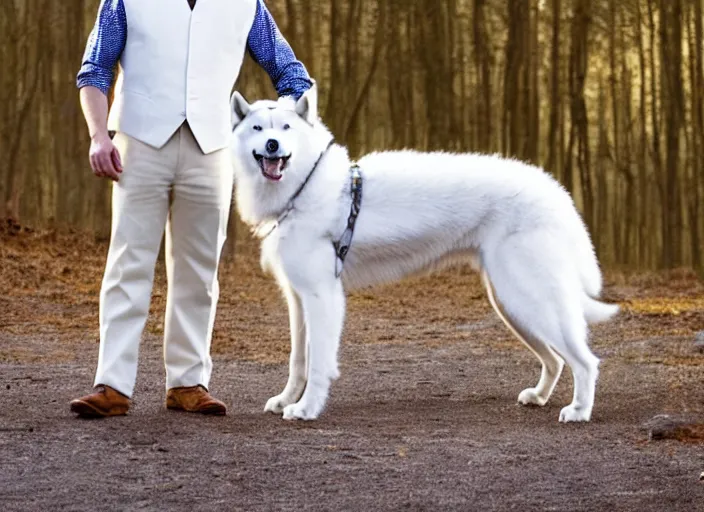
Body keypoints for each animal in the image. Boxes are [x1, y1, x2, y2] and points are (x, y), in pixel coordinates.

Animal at [228, 83, 620, 420]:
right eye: (258, 128)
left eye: (287, 127)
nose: (273, 144)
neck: (306, 185)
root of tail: (553, 190)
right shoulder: (298, 299)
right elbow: (297, 361)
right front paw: (285, 400)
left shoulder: (322, 296)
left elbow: (318, 363)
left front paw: (307, 408)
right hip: (512, 304)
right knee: (555, 360)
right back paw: (538, 396)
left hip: (528, 299)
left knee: (585, 362)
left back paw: (579, 411)